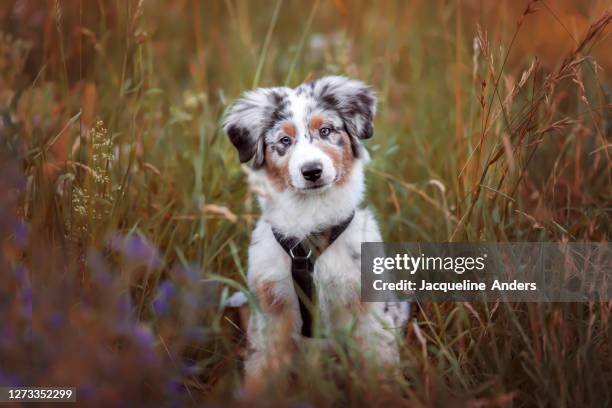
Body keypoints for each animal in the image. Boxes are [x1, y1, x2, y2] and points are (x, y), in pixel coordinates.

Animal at [224, 75, 406, 380]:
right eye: (284, 140)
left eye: (326, 130)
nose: (312, 171)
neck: (311, 218)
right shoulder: (271, 305)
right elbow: (262, 367)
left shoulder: (365, 304)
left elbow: (378, 361)